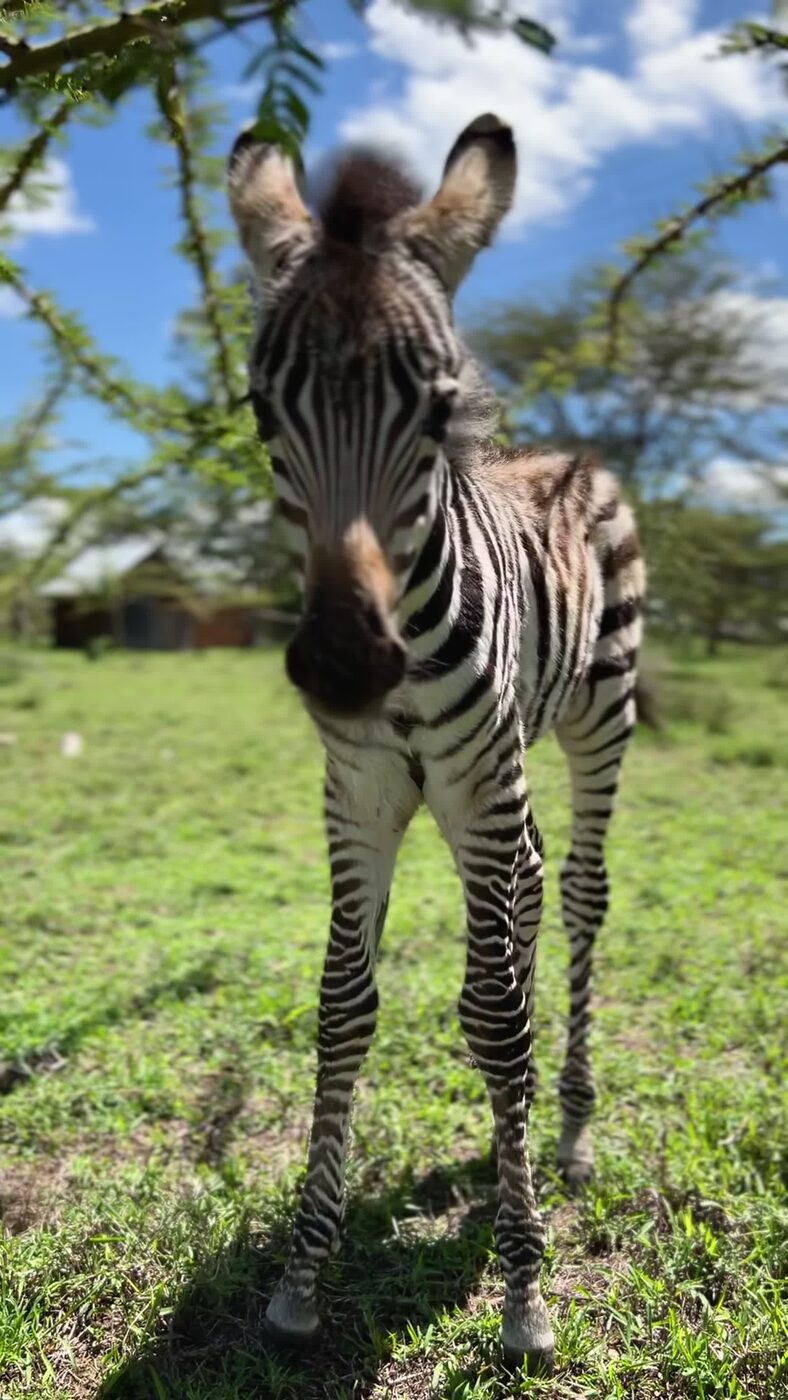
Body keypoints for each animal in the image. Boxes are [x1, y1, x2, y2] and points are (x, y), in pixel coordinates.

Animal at [228, 113, 645, 1375]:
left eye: (434, 409)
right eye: (261, 413)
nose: (341, 668)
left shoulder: (470, 778)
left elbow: (495, 1019)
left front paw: (522, 1290)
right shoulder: (359, 788)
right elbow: (341, 1006)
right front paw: (300, 1278)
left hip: (589, 718)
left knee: (580, 894)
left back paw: (568, 1132)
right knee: (534, 884)